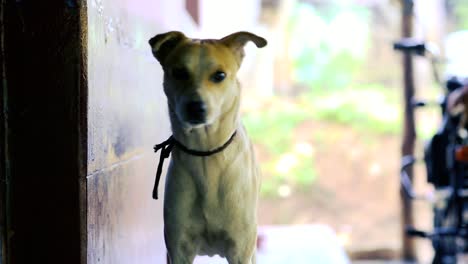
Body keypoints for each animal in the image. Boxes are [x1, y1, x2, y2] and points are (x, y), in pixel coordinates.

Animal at [150, 31, 266, 264]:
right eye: (179, 72)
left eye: (219, 75)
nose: (195, 107)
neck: (206, 154)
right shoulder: (178, 247)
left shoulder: (240, 250)